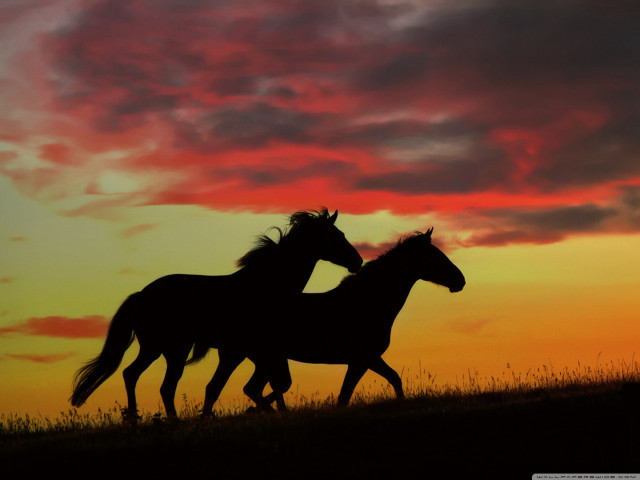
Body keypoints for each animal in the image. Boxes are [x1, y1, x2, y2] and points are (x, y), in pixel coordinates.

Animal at [70, 209, 363, 419]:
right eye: (337, 235)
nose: (357, 261)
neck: (264, 286)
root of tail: (142, 294)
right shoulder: (244, 351)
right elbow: (229, 387)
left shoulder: (249, 352)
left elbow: (245, 386)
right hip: (172, 349)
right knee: (160, 384)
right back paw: (161, 420)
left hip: (156, 348)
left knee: (134, 375)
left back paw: (136, 418)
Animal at [215, 227, 465, 412]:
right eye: (436, 256)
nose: (460, 280)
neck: (367, 303)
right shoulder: (363, 359)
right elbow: (347, 395)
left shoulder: (366, 360)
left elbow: (391, 379)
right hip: (260, 358)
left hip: (264, 360)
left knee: (254, 388)